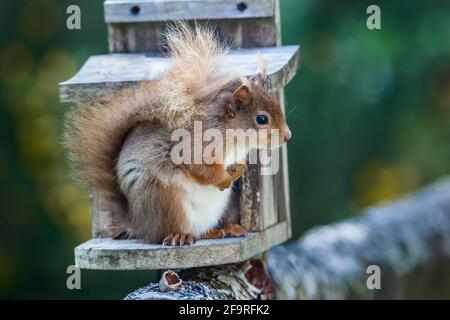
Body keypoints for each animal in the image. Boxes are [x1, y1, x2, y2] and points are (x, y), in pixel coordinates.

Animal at [66, 23, 292, 245]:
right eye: (261, 119)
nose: (287, 136)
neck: (233, 138)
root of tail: (137, 223)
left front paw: (239, 169)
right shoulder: (194, 144)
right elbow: (199, 167)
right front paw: (224, 179)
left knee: (200, 233)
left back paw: (223, 230)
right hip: (164, 199)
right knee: (164, 233)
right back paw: (179, 235)